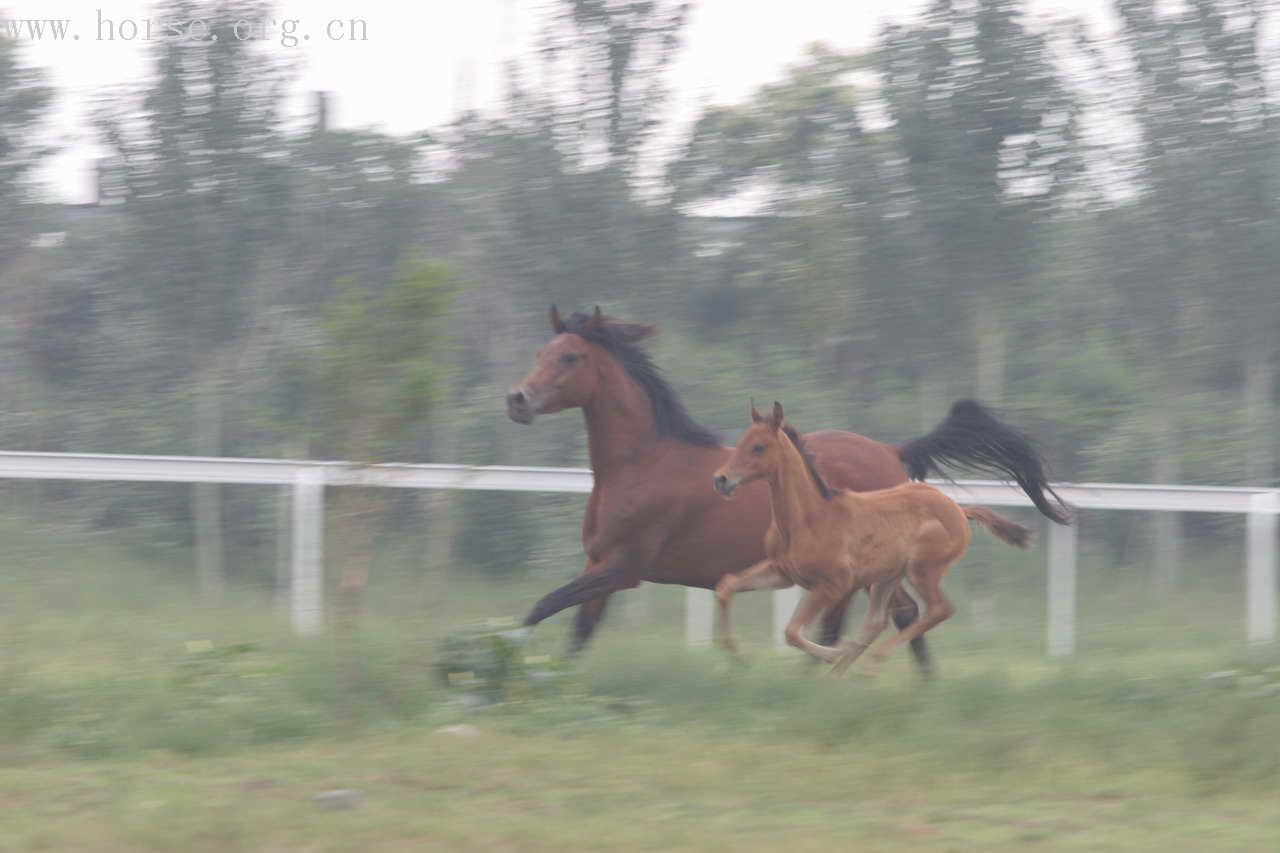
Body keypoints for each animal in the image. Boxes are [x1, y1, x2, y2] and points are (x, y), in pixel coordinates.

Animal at [716, 402, 1034, 676]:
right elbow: (726, 586)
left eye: (759, 446)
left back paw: (868, 663)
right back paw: (842, 673)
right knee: (880, 620)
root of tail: (958, 509)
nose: (721, 479)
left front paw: (832, 654)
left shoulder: (834, 584)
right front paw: (738, 655)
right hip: (886, 577)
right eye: (742, 441)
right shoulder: (781, 572)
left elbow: (793, 631)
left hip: (922, 571)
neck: (808, 519)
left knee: (938, 609)